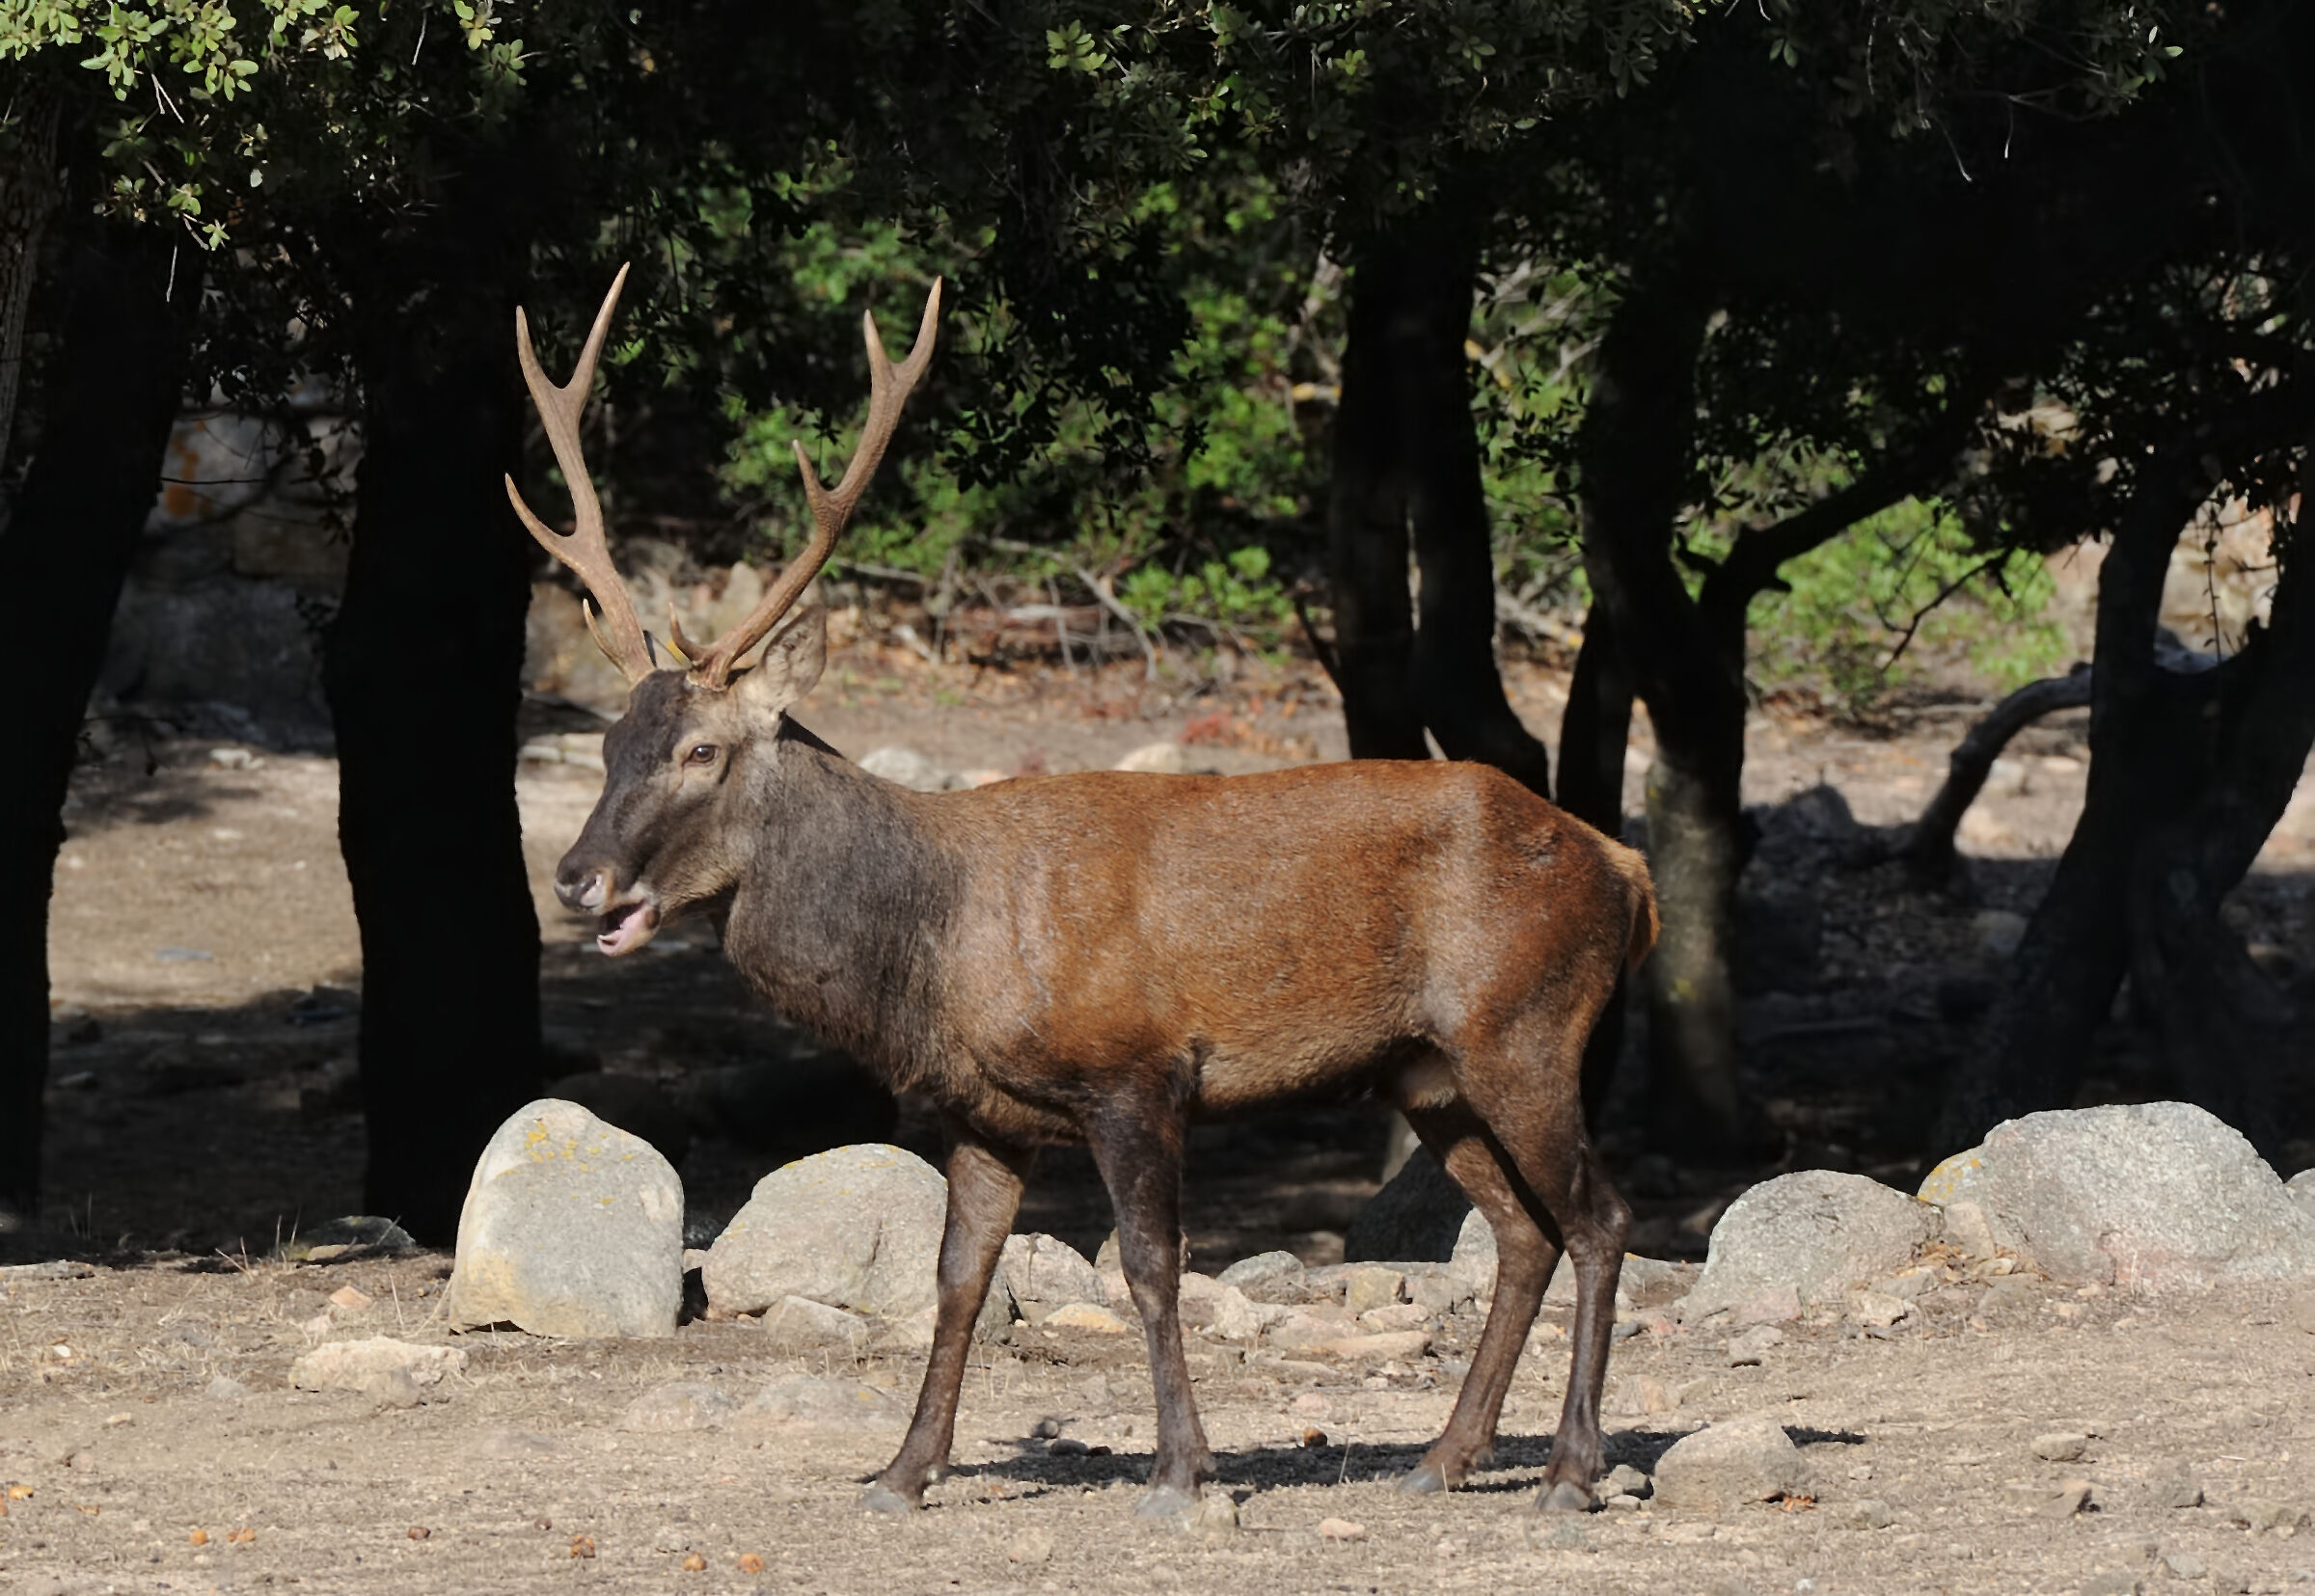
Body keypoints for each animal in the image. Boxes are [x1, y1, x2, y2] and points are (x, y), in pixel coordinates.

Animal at [507, 266, 1659, 1518]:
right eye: (609, 742)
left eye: (703, 751)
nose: (576, 874)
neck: (941, 951)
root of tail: (1627, 870)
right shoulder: (978, 1113)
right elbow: (957, 1279)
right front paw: (905, 1470)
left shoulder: (1137, 1069)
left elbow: (1151, 1268)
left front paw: (1182, 1469)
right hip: (1430, 1066)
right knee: (1523, 1233)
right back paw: (1442, 1455)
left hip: (1526, 1024)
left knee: (1600, 1218)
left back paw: (1572, 1468)